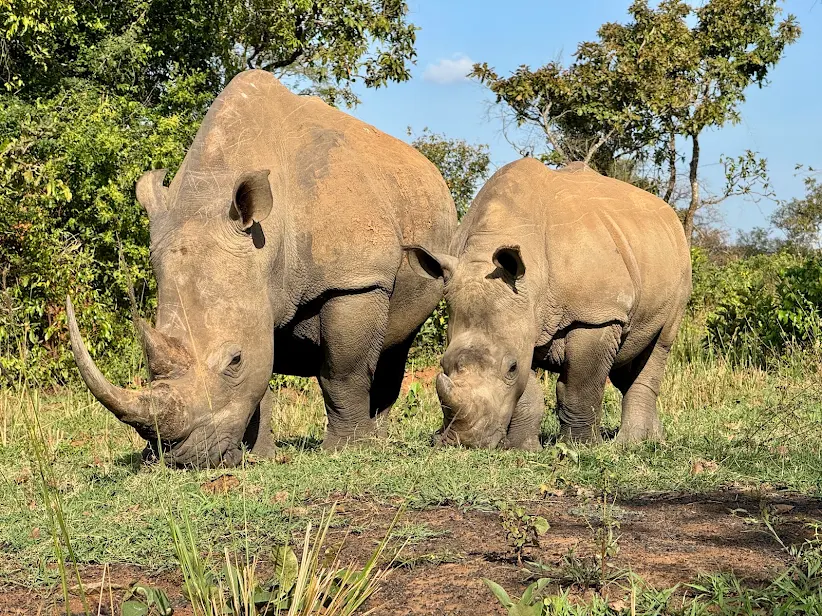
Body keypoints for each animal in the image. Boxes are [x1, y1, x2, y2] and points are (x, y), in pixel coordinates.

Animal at [67, 70, 457, 467]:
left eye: (234, 361)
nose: (182, 459)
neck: (267, 244)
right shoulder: (256, 291)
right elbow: (262, 374)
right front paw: (260, 457)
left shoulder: (356, 279)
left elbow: (342, 372)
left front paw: (344, 451)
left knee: (396, 344)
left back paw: (375, 442)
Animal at [406, 159, 691, 449]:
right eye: (443, 365)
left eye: (510, 368)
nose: (463, 442)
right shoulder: (525, 314)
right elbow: (527, 391)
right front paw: (521, 448)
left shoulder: (596, 315)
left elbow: (579, 386)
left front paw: (581, 446)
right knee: (628, 359)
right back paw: (654, 440)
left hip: (680, 266)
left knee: (660, 343)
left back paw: (630, 443)